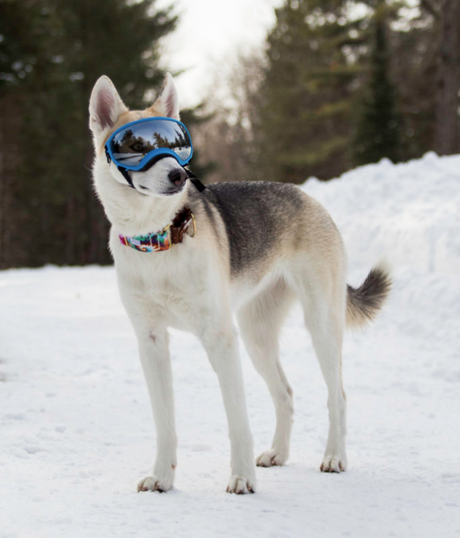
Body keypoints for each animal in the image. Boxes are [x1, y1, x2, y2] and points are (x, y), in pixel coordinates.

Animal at [88, 73, 390, 492]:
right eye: (135, 146)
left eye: (176, 144)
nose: (179, 174)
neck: (158, 238)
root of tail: (310, 198)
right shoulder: (151, 341)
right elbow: (165, 424)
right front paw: (163, 477)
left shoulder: (219, 339)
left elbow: (238, 421)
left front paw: (242, 477)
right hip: (256, 337)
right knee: (285, 394)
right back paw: (278, 453)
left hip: (320, 327)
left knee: (338, 396)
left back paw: (334, 457)